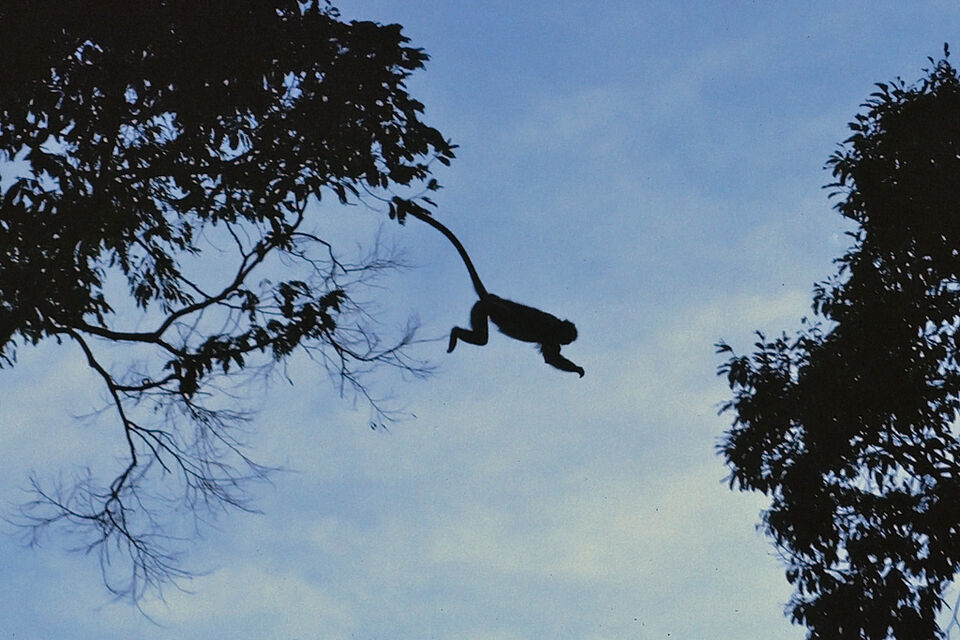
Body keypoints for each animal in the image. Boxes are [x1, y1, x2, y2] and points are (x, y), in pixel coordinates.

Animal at [404, 207, 584, 377]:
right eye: (568, 338)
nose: (568, 342)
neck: (557, 325)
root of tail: (490, 297)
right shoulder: (550, 333)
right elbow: (551, 357)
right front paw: (578, 369)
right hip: (484, 309)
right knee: (483, 336)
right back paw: (455, 332)